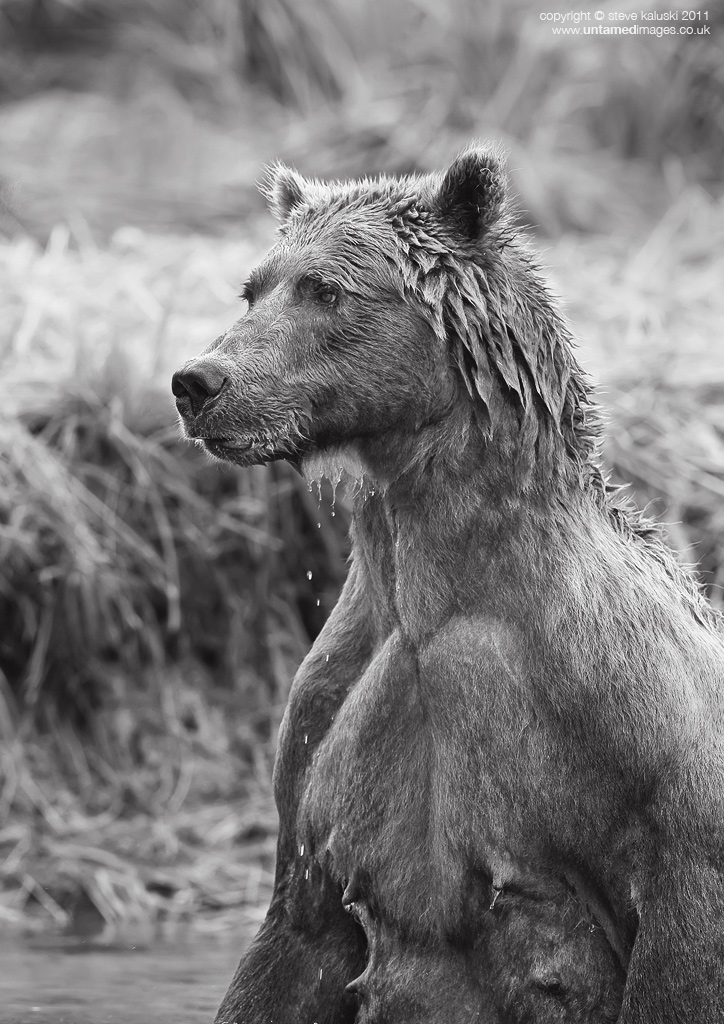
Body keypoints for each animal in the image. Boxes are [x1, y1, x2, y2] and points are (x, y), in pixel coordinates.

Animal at [172, 144, 724, 1023]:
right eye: (253, 286)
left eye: (326, 289)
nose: (199, 380)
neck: (443, 585)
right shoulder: (329, 730)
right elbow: (296, 938)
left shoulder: (651, 744)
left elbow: (677, 950)